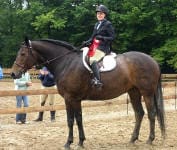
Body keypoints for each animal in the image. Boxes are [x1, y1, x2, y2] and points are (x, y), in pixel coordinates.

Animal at [11, 37, 166, 149]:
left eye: (23, 54)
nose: (14, 74)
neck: (66, 62)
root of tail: (153, 60)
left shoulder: (70, 98)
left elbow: (71, 120)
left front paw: (70, 143)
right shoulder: (74, 99)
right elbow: (78, 119)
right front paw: (79, 141)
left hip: (147, 93)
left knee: (151, 113)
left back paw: (150, 140)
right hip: (134, 92)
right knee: (139, 113)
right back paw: (132, 139)